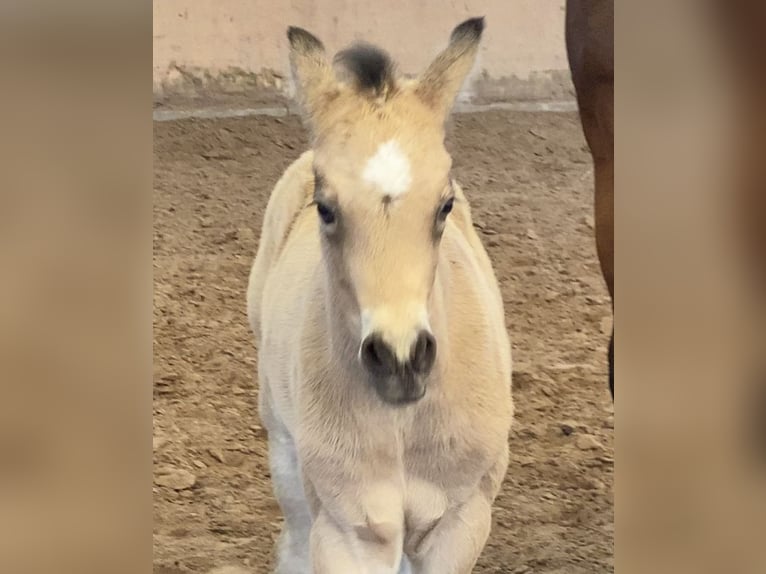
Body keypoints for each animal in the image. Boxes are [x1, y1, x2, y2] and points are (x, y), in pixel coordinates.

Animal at [249, 19, 516, 574]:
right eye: (325, 207)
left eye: (445, 204)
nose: (400, 357)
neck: (404, 427)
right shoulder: (350, 531)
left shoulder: (460, 521)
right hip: (284, 448)